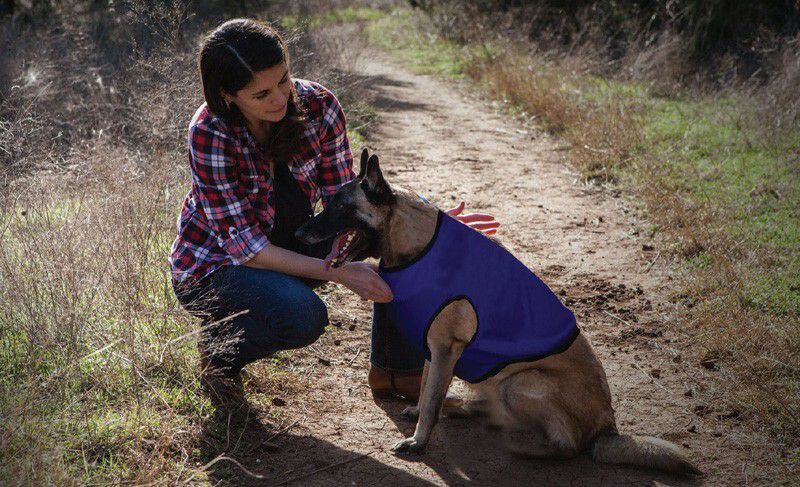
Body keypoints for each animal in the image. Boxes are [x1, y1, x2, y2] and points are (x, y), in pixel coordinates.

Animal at [295, 149, 699, 474]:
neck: (418, 243)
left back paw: (523, 445)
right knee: (485, 408)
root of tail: (608, 426)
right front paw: (420, 413)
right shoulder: (435, 349)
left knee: (567, 446)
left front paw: (418, 440)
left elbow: (430, 398)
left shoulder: (445, 348)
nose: (298, 233)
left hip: (518, 383)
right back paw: (466, 407)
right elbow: (426, 387)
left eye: (340, 206)